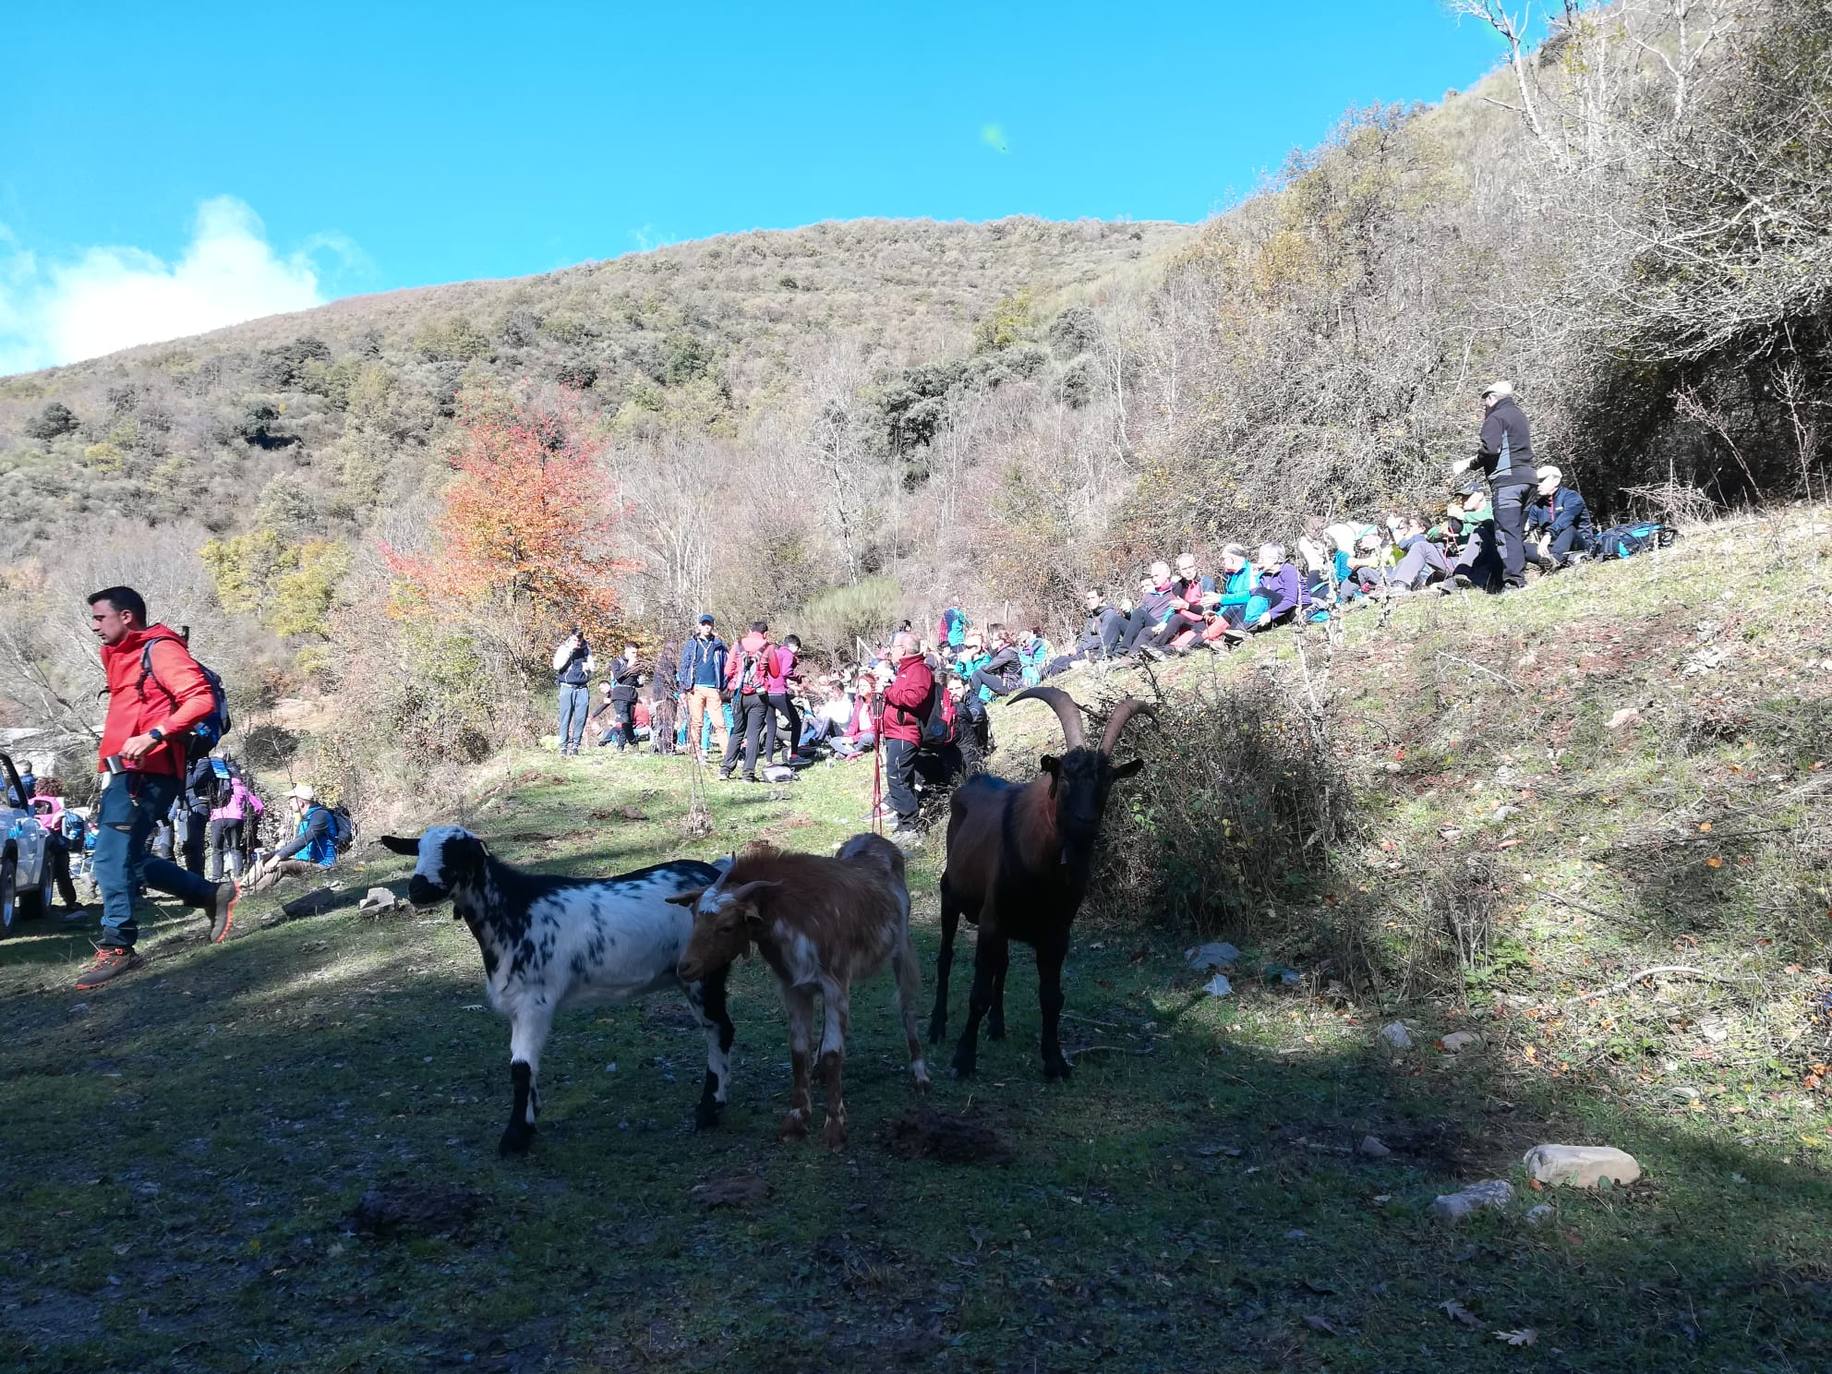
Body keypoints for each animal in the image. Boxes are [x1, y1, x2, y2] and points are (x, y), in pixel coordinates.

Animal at [379, 828, 736, 1165]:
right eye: (418, 850)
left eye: (457, 854)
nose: (417, 890)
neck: (513, 912)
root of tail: (714, 876)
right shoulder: (517, 1005)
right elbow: (527, 1066)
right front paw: (529, 1119)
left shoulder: (533, 1001)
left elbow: (520, 1068)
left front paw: (515, 1137)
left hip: (702, 973)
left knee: (719, 1029)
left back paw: (709, 1110)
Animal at [670, 835, 930, 1157]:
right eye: (694, 917)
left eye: (727, 926)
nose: (685, 967)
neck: (796, 914)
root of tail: (875, 838)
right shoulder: (794, 988)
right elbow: (798, 1050)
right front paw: (795, 1121)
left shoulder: (835, 985)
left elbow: (833, 1053)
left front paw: (835, 1129)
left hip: (902, 950)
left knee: (907, 1008)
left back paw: (920, 1075)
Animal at [930, 692, 1143, 1084]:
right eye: (1066, 775)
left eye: (1108, 781)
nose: (1085, 824)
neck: (1044, 870)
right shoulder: (992, 920)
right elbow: (977, 993)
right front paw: (963, 1059)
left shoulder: (1056, 931)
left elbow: (1051, 997)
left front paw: (1055, 1060)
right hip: (950, 896)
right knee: (946, 958)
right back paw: (937, 1027)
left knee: (1003, 964)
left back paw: (997, 1026)